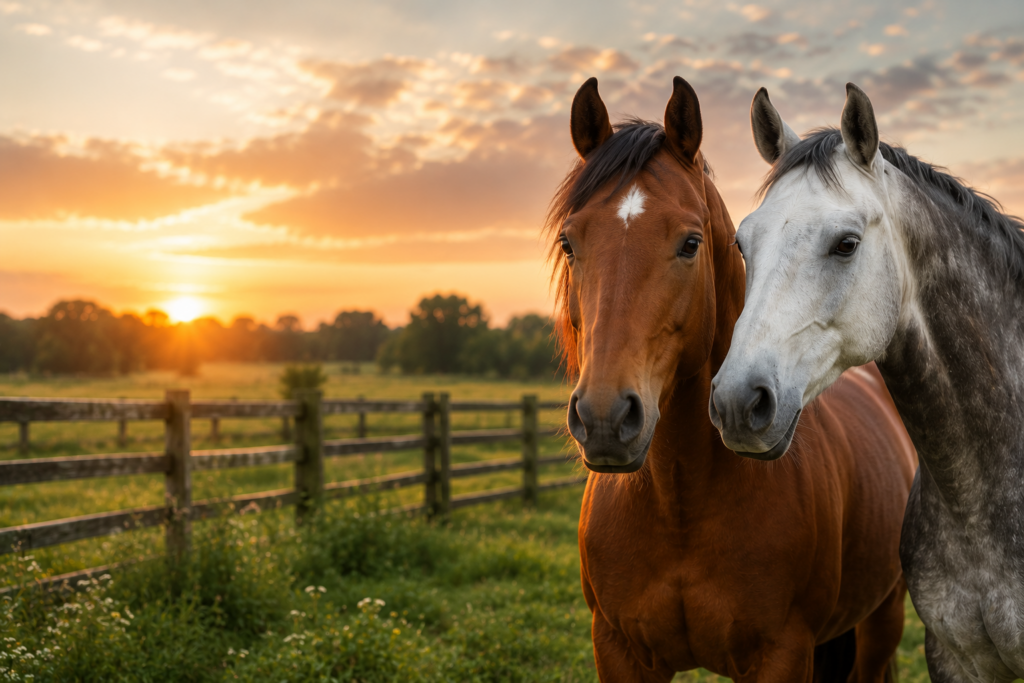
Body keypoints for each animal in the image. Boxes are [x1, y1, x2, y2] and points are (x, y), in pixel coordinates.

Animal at [550, 76, 917, 682]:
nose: (604, 418)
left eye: (690, 243)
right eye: (569, 243)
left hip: (883, 618)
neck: (680, 504)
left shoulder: (782, 652)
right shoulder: (618, 649)